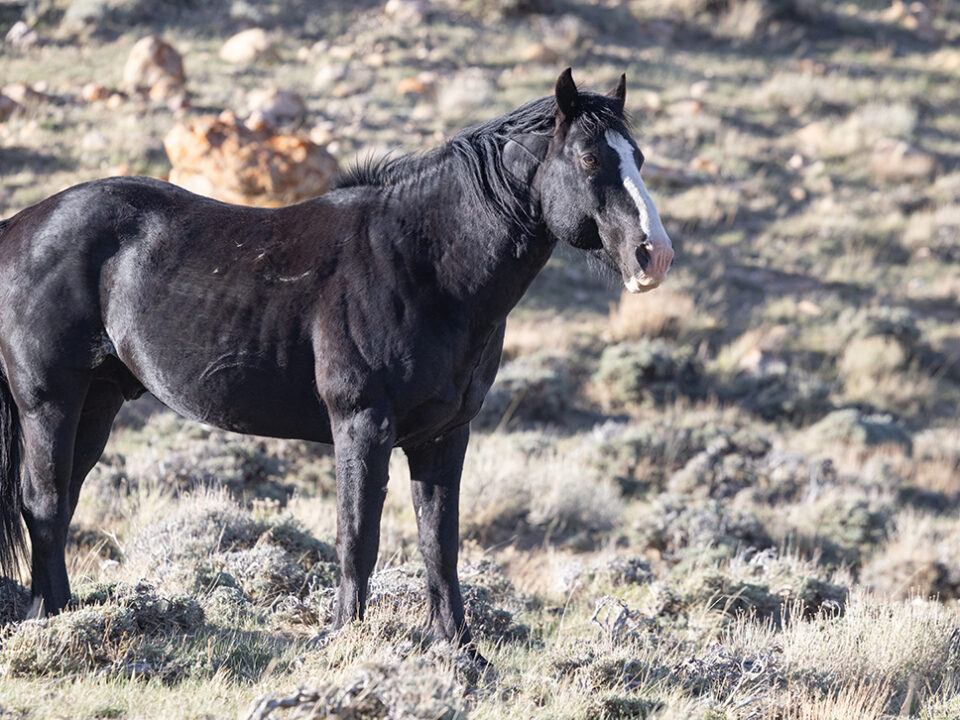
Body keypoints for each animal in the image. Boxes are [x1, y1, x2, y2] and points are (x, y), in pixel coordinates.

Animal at [0, 68, 673, 650]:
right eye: (589, 158)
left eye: (637, 158)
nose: (654, 255)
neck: (423, 265)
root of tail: (22, 226)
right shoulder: (362, 424)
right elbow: (358, 538)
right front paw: (343, 639)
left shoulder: (445, 434)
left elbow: (440, 542)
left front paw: (458, 648)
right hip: (48, 401)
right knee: (44, 504)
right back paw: (48, 620)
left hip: (98, 402)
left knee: (61, 502)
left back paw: (58, 612)